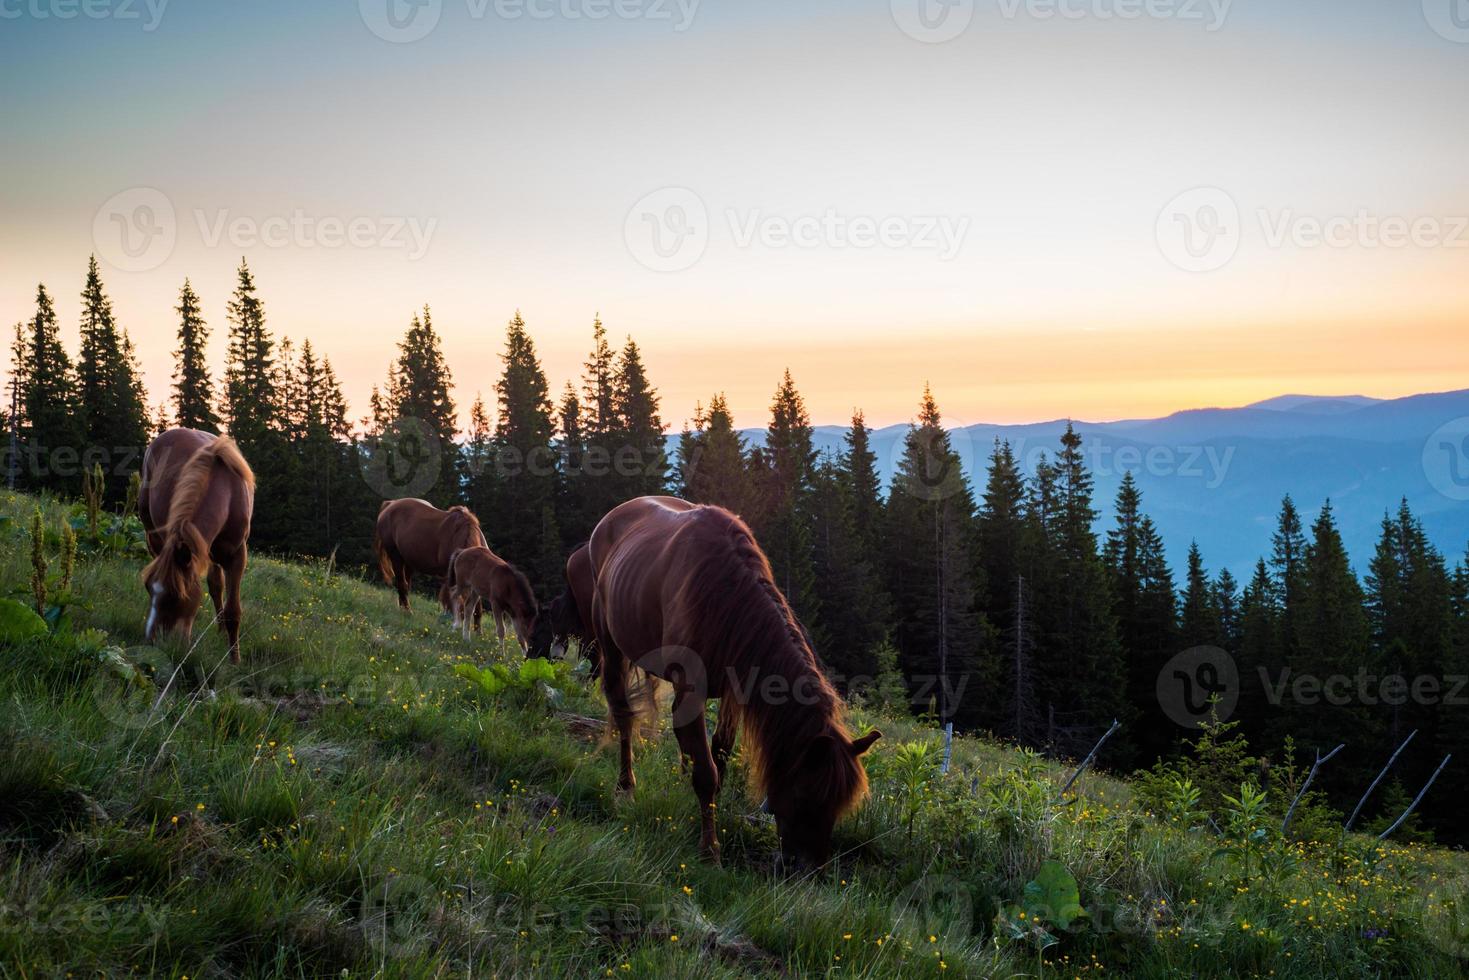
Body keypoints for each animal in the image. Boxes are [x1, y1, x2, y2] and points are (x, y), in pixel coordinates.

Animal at [139, 426, 255, 664]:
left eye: (176, 596)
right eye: (147, 588)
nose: (151, 641)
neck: (225, 492)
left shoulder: (237, 555)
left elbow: (232, 610)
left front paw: (234, 661)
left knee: (216, 586)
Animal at [587, 499, 881, 863]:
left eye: (840, 807)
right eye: (804, 796)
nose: (808, 868)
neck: (722, 598)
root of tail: (612, 516)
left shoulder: (733, 691)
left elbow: (720, 756)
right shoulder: (690, 690)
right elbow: (706, 772)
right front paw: (710, 849)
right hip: (611, 644)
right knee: (624, 716)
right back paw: (626, 786)